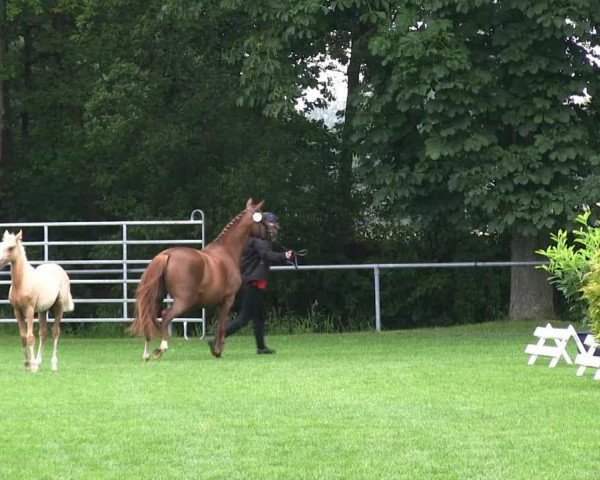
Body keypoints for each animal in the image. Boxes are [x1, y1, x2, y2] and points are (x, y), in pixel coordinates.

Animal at [0, 231, 74, 374]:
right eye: (1, 245)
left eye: (11, 247)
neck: (22, 282)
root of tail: (58, 268)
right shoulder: (17, 311)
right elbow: (23, 337)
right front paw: (27, 364)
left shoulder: (29, 310)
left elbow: (30, 337)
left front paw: (32, 366)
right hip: (42, 311)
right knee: (43, 333)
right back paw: (39, 362)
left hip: (59, 307)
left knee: (55, 331)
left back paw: (53, 365)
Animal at [132, 199, 268, 360]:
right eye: (263, 217)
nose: (274, 232)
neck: (226, 252)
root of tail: (167, 254)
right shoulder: (227, 300)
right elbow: (221, 326)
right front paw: (217, 351)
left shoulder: (218, 303)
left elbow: (219, 326)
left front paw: (216, 349)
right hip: (184, 302)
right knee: (165, 316)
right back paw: (161, 349)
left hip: (158, 298)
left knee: (149, 318)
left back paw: (146, 354)